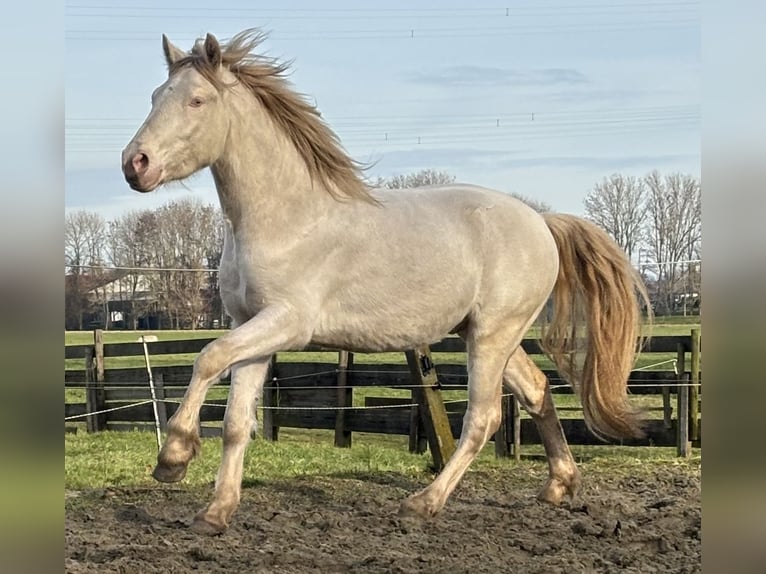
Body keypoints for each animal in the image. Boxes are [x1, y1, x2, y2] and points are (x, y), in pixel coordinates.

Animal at [122, 29, 650, 536]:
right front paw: (215, 513)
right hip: (487, 333)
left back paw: (422, 504)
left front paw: (173, 458)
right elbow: (235, 421)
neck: (287, 219)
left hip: (493, 335)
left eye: (196, 100)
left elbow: (208, 357)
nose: (134, 163)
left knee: (483, 418)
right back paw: (559, 486)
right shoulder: (250, 324)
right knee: (537, 390)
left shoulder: (288, 322)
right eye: (154, 96)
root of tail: (541, 221)